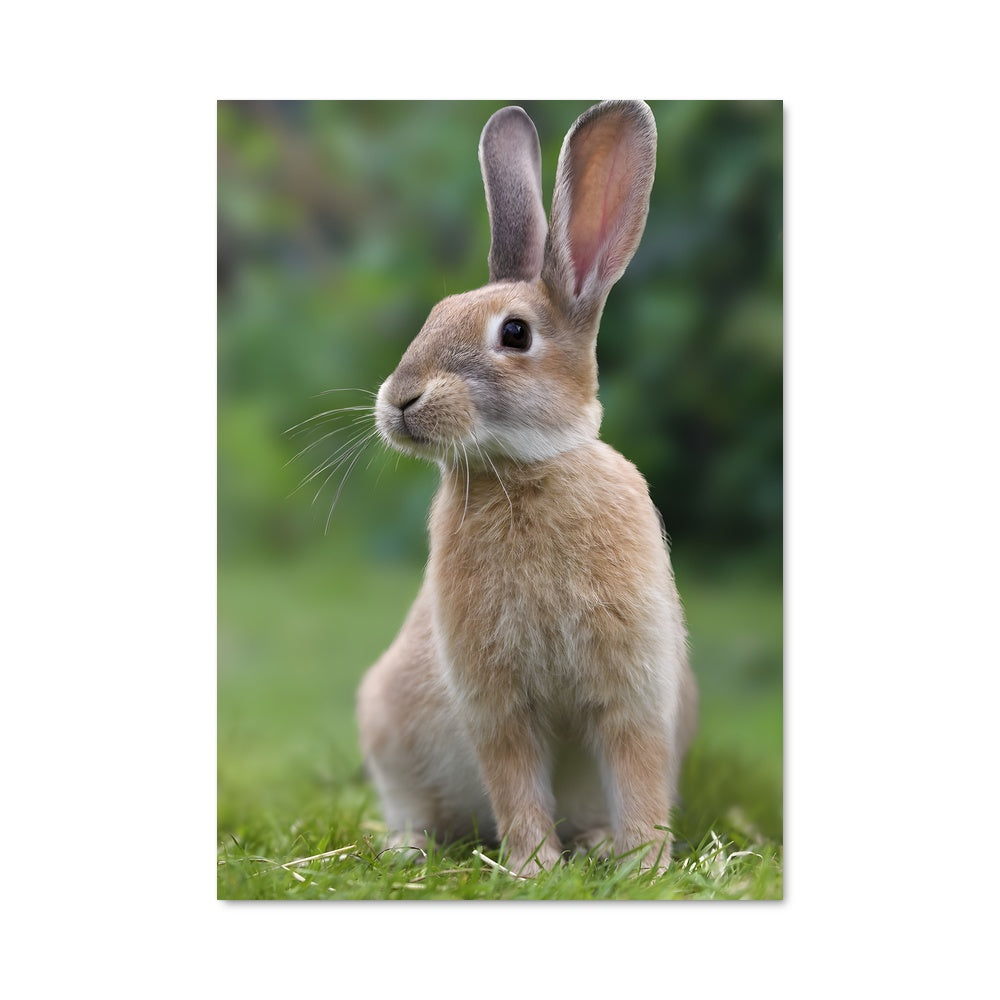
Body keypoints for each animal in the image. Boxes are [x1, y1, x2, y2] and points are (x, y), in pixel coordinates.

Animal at [356, 100, 698, 877]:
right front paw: (534, 867)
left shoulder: (633, 687)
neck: (522, 470)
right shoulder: (496, 700)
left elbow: (636, 772)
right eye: (433, 315)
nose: (399, 401)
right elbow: (514, 779)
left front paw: (644, 864)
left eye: (515, 334)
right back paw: (408, 848)